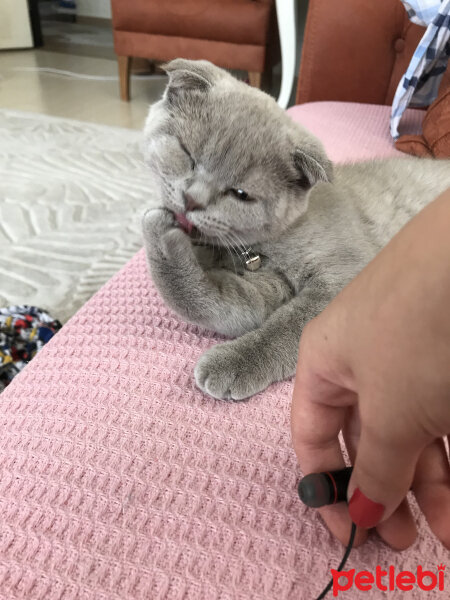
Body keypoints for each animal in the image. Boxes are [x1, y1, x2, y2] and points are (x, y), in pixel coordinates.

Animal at [142, 58, 450, 400]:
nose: (192, 200)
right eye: (187, 155)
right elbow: (223, 304)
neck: (261, 250)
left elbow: (289, 326)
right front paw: (165, 239)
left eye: (240, 194)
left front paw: (234, 363)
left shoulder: (346, 275)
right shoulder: (266, 285)